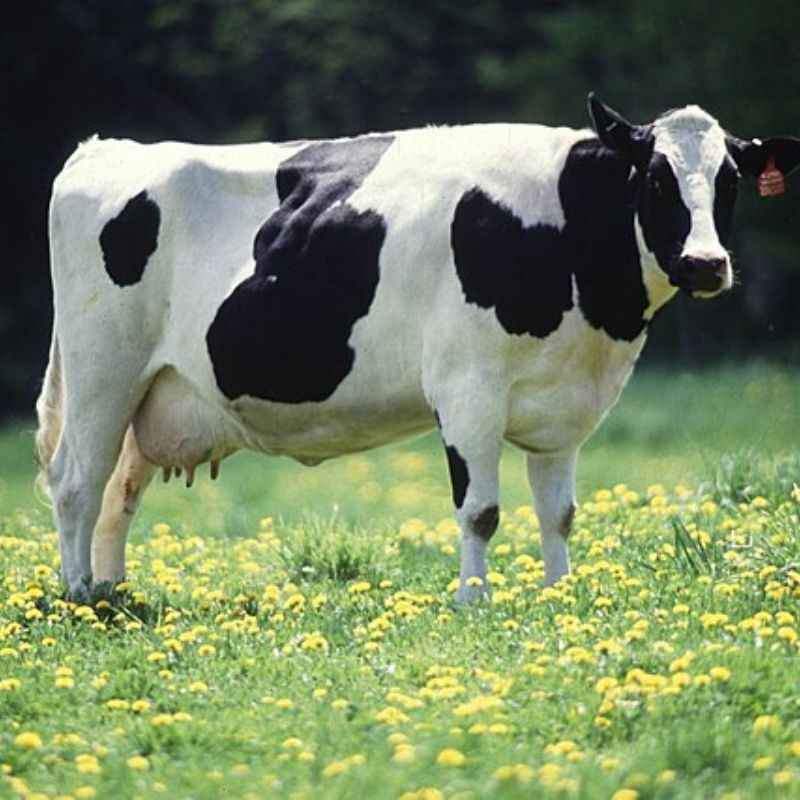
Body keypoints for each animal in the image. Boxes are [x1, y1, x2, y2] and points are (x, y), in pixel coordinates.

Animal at [36, 94, 800, 603]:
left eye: (730, 180)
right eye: (655, 178)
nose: (706, 264)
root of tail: (105, 148)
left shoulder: (564, 408)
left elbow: (559, 512)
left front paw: (559, 595)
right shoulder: (467, 389)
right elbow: (481, 510)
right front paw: (473, 602)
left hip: (152, 391)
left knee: (119, 491)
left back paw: (114, 593)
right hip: (102, 371)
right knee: (76, 482)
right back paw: (79, 597)